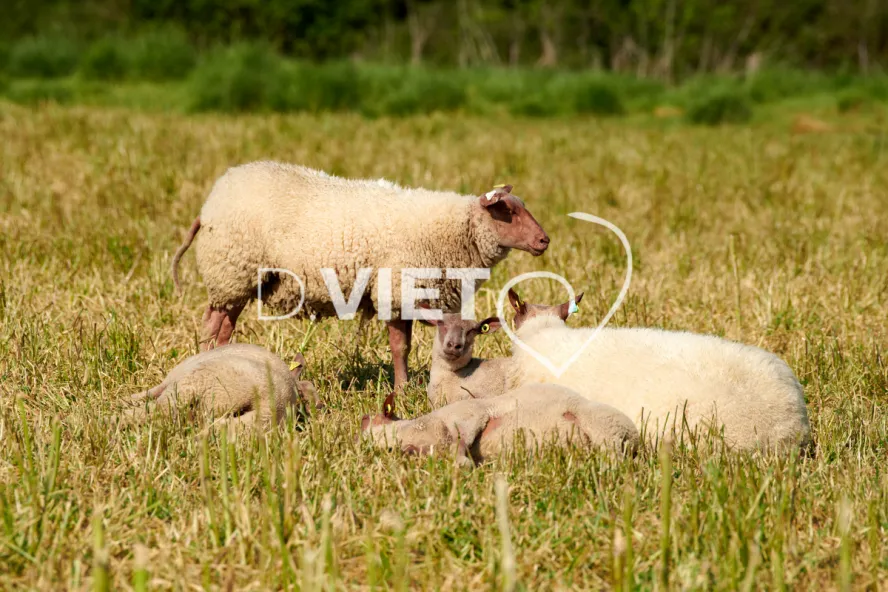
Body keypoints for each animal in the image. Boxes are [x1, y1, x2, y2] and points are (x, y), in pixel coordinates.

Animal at [171, 162, 550, 394]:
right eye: (507, 211)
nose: (544, 240)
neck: (455, 231)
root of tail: (209, 205)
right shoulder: (395, 288)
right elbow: (399, 347)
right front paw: (402, 389)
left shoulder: (408, 296)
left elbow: (405, 345)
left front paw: (404, 386)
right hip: (231, 270)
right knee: (213, 326)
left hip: (240, 279)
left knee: (222, 326)